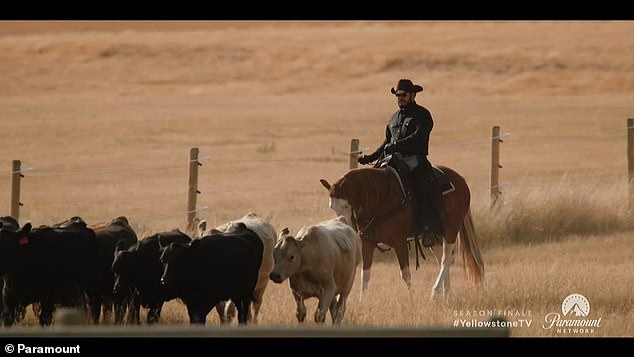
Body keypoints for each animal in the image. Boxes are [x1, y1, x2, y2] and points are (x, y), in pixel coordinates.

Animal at [318, 164, 482, 300]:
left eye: (346, 206)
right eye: (332, 207)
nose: (347, 227)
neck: (381, 201)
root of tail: (460, 180)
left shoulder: (399, 243)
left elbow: (405, 274)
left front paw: (411, 299)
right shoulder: (367, 244)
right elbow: (365, 275)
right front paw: (361, 302)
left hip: (451, 230)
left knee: (447, 258)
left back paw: (435, 292)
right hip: (436, 234)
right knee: (441, 257)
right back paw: (445, 292)